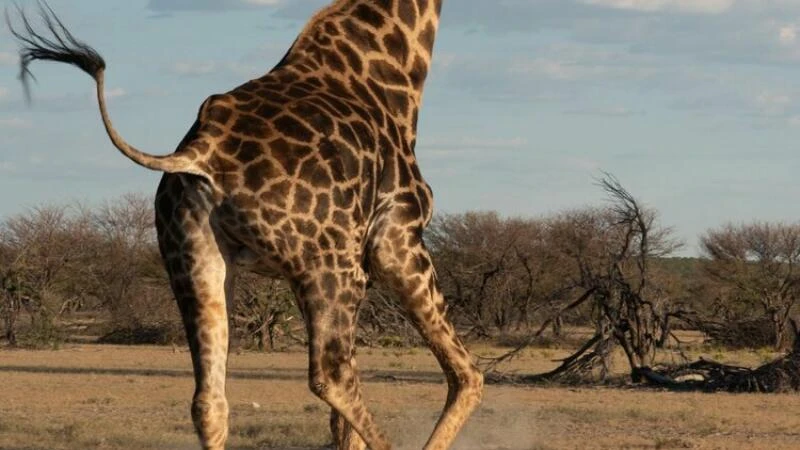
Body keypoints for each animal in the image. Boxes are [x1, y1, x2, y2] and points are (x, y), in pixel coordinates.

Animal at [7, 0, 482, 450]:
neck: (391, 69)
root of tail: (200, 151)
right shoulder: (397, 237)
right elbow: (467, 377)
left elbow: (343, 425)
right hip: (333, 265)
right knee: (333, 375)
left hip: (196, 260)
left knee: (209, 402)